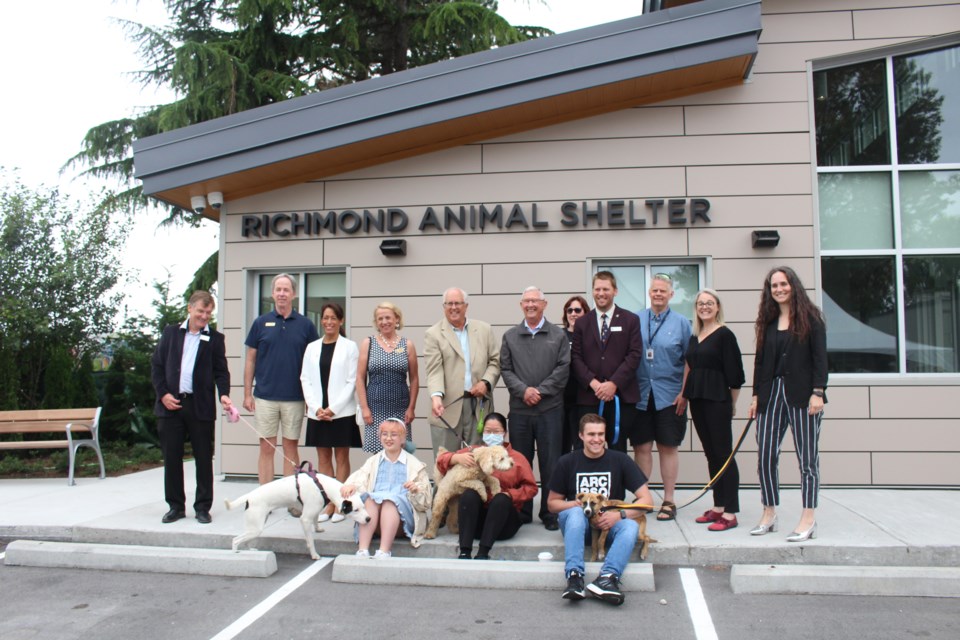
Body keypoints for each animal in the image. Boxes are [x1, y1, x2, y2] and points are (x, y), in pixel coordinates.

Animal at [227, 464, 370, 560]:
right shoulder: (305, 519)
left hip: (256, 526)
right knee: (235, 540)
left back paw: (251, 550)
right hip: (256, 527)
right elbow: (310, 541)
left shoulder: (314, 510)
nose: (369, 519)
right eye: (355, 510)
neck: (322, 486)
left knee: (246, 539)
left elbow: (316, 519)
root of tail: (249, 496)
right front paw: (314, 555)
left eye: (364, 506)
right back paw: (234, 554)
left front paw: (318, 528)